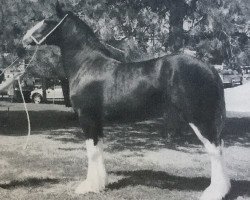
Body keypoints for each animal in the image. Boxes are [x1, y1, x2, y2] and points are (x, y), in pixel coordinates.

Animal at [22, 3, 231, 200]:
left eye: (47, 21)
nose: (24, 39)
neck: (87, 65)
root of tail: (210, 68)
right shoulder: (97, 121)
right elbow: (99, 148)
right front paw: (101, 184)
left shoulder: (87, 117)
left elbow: (91, 151)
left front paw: (88, 187)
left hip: (200, 118)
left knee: (215, 150)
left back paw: (214, 192)